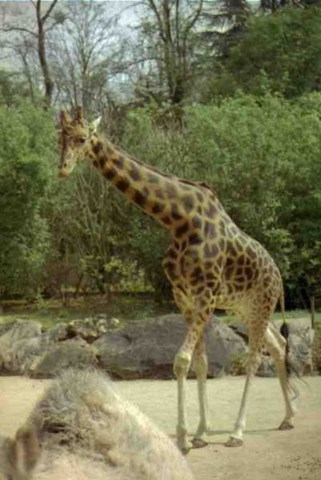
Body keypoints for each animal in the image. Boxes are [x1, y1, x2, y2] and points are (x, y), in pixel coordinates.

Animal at [57, 109, 296, 454]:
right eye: (60, 137)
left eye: (82, 137)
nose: (63, 168)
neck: (176, 219)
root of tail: (278, 275)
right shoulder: (184, 296)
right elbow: (200, 363)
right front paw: (199, 434)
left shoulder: (205, 295)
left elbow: (182, 360)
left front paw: (184, 438)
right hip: (246, 308)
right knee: (278, 345)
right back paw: (288, 417)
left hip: (262, 304)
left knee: (254, 358)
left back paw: (237, 432)